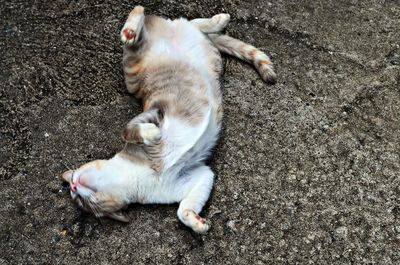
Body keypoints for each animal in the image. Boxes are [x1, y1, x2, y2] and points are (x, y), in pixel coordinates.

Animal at [62, 5, 276, 233]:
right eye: (82, 202)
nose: (73, 186)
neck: (139, 176)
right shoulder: (196, 176)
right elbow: (183, 209)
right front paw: (196, 222)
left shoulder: (155, 110)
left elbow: (129, 129)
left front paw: (151, 133)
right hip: (207, 57)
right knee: (193, 25)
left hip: (132, 69)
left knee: (146, 18)